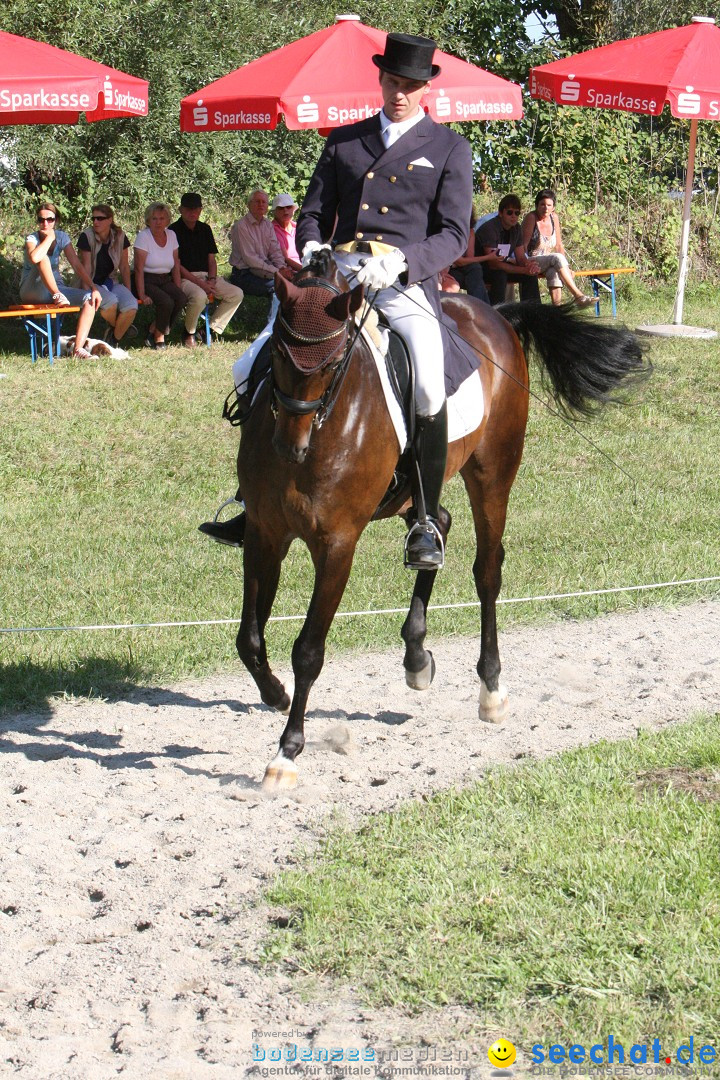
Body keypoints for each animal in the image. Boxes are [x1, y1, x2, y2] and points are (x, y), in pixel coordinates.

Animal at [236, 248, 647, 790]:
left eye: (333, 362)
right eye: (278, 357)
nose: (290, 447)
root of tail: (492, 312)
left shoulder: (337, 545)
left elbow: (308, 651)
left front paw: (286, 751)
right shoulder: (264, 533)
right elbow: (249, 639)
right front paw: (276, 695)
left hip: (491, 472)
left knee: (487, 570)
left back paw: (491, 690)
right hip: (413, 492)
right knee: (438, 525)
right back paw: (416, 653)